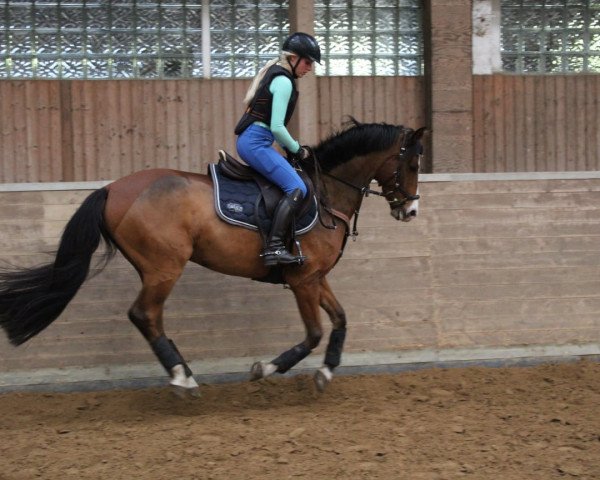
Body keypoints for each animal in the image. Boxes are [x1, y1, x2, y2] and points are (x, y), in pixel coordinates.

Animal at [0, 120, 426, 398]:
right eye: (412, 164)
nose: (411, 211)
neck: (325, 194)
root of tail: (112, 188)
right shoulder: (303, 280)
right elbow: (314, 333)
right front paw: (265, 369)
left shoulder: (316, 278)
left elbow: (340, 320)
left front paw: (325, 371)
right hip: (164, 266)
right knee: (144, 314)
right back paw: (181, 377)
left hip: (156, 268)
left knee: (150, 317)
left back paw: (183, 371)